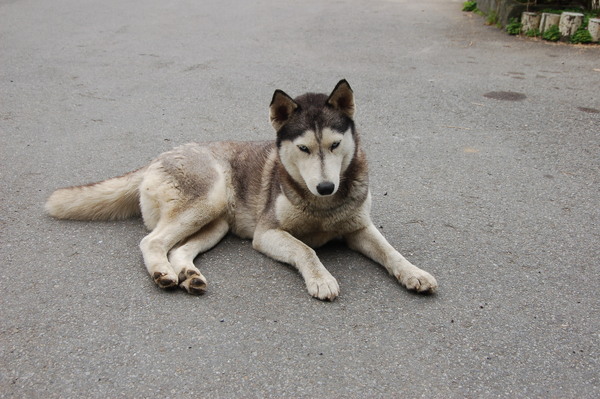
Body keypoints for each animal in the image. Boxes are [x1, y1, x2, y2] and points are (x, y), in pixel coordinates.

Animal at [45, 80, 436, 300]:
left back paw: (190, 276)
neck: (321, 207)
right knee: (151, 242)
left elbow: (391, 252)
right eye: (304, 148)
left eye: (335, 144)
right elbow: (307, 249)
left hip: (215, 223)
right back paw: (163, 273)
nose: (326, 187)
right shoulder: (268, 234)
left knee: (179, 249)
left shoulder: (359, 229)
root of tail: (161, 155)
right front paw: (321, 278)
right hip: (207, 200)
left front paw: (413, 273)